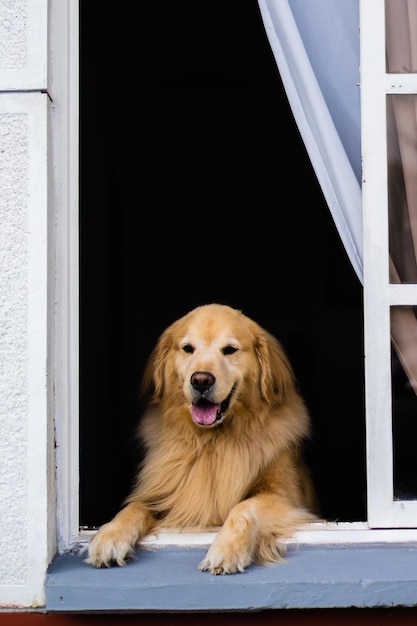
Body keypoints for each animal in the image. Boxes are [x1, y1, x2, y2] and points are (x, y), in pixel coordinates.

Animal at [85, 302, 318, 572]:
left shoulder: (286, 497)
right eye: (188, 348)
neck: (211, 441)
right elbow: (134, 507)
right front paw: (109, 536)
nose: (201, 380)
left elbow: (244, 508)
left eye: (230, 350)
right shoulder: (166, 491)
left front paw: (227, 549)